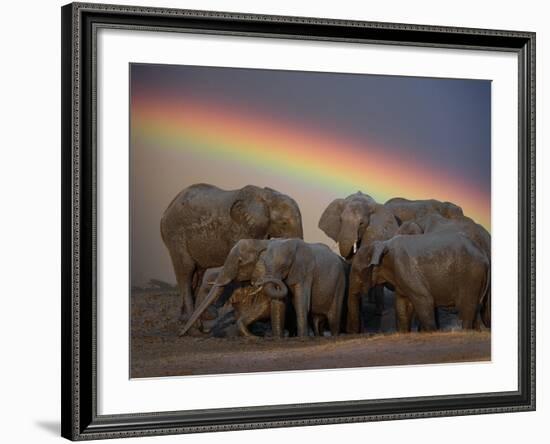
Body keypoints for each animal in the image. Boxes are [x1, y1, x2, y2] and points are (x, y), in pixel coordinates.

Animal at [162, 184, 304, 322]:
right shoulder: (239, 228)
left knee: (198, 272)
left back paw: (199, 317)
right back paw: (190, 320)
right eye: (284, 223)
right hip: (175, 235)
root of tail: (165, 212)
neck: (266, 197)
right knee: (186, 269)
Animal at [352, 232, 490, 332]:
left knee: (466, 308)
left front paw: (431, 332)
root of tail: (484, 256)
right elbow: (403, 306)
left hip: (470, 276)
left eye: (357, 271)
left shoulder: (404, 267)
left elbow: (425, 300)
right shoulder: (400, 276)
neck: (382, 244)